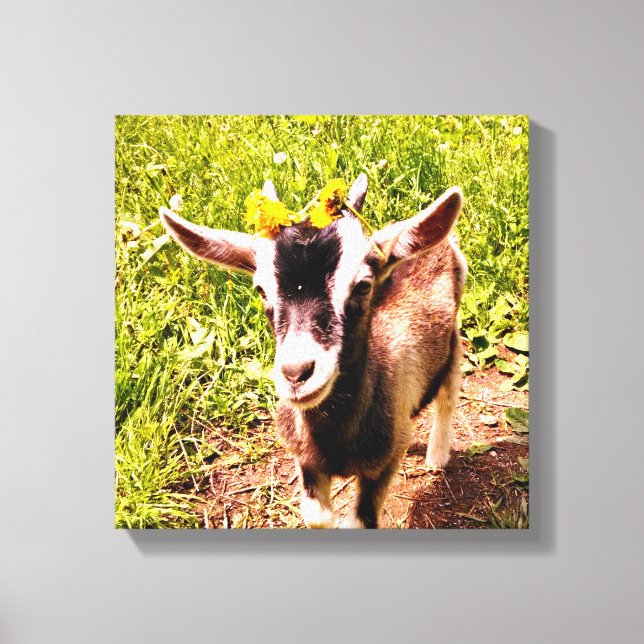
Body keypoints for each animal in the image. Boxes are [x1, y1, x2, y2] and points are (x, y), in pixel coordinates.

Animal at [160, 174, 467, 528]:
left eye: (363, 285)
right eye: (261, 290)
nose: (297, 373)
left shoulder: (385, 459)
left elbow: (359, 521)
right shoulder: (306, 461)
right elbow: (318, 518)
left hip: (453, 342)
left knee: (448, 395)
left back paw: (437, 457)